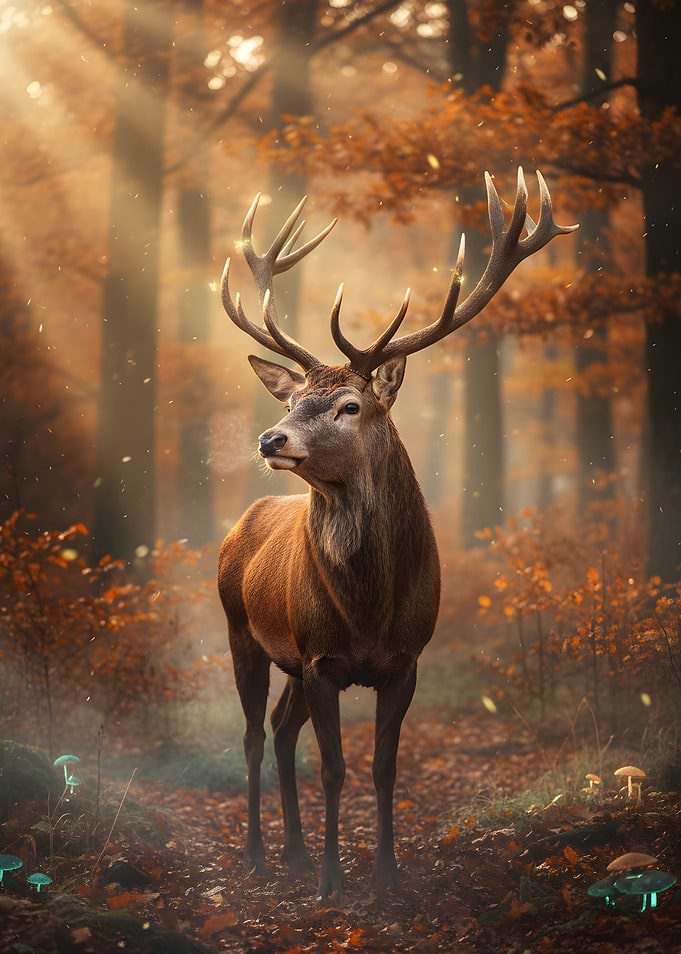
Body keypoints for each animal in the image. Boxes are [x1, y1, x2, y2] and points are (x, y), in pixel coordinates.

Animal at [217, 168, 577, 898]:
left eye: (349, 405)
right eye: (292, 400)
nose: (271, 438)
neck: (368, 612)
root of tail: (236, 529)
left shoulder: (406, 660)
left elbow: (384, 769)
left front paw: (386, 874)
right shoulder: (321, 659)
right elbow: (335, 769)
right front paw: (334, 879)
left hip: (287, 656)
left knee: (279, 731)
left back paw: (293, 852)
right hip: (242, 630)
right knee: (251, 735)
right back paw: (262, 855)